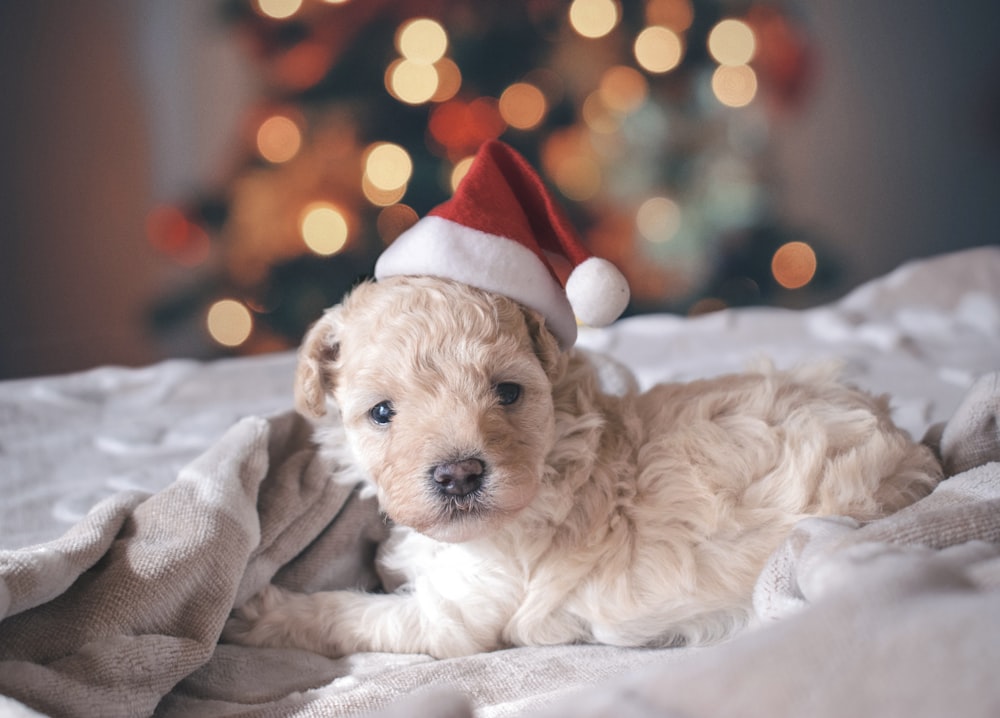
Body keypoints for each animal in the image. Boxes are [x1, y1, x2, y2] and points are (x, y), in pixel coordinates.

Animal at [223, 278, 940, 660]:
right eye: (381, 412)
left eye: (508, 392)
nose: (459, 475)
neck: (552, 455)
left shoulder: (452, 619)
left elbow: (351, 614)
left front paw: (262, 611)